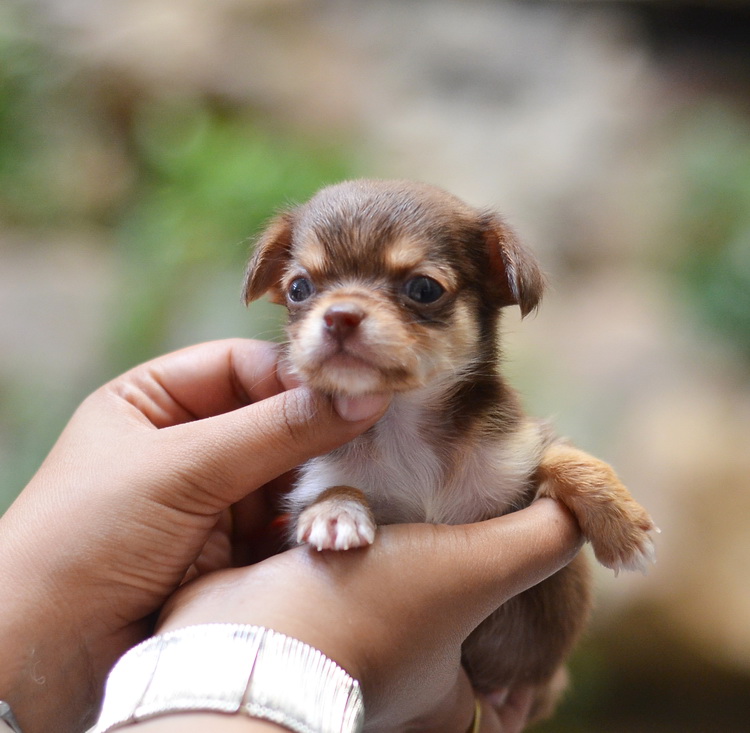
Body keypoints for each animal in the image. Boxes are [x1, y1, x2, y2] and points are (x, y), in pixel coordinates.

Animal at [243, 179, 656, 721]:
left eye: (423, 289)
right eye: (299, 289)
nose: (339, 315)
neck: (406, 423)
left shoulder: (518, 454)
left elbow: (565, 457)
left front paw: (622, 525)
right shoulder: (307, 493)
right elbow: (331, 489)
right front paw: (336, 512)